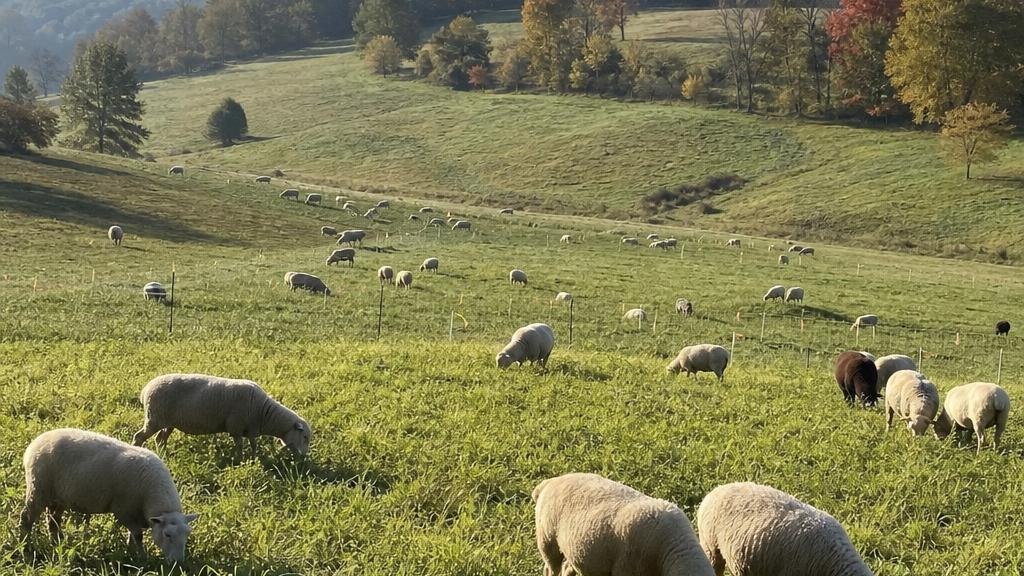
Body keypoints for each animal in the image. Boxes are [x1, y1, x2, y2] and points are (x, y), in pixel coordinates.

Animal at [21, 429, 198, 563]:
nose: (178, 563)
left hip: (59, 496)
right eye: (167, 535)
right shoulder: (124, 510)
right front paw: (142, 557)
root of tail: (34, 444)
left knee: (53, 519)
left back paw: (58, 542)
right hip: (38, 489)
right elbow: (138, 535)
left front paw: (130, 551)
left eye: (187, 534)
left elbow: (133, 535)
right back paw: (26, 546)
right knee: (27, 517)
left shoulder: (133, 513)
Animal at [132, 373, 311, 459]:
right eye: (304, 437)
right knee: (139, 436)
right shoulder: (236, 426)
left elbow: (253, 444)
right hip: (154, 418)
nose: (303, 457)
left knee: (160, 439)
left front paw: (254, 458)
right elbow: (240, 445)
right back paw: (138, 450)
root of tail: (145, 390)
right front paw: (240, 459)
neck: (264, 413)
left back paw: (163, 454)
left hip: (168, 421)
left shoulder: (250, 429)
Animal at [533, 473, 713, 576]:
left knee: (568, 567)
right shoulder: (626, 568)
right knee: (550, 569)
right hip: (547, 540)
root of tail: (549, 482)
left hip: (574, 547)